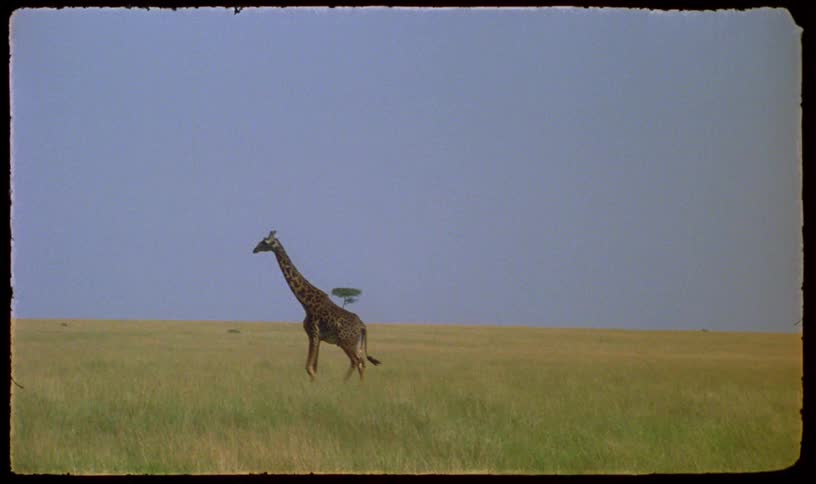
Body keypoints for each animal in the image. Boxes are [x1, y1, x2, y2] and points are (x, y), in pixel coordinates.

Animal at [253, 230, 381, 381]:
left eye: (264, 242)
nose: (254, 249)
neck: (306, 303)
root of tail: (362, 326)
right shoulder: (316, 337)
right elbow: (314, 367)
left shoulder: (314, 334)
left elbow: (309, 368)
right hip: (355, 344)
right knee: (361, 363)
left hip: (346, 342)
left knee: (357, 362)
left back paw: (346, 384)